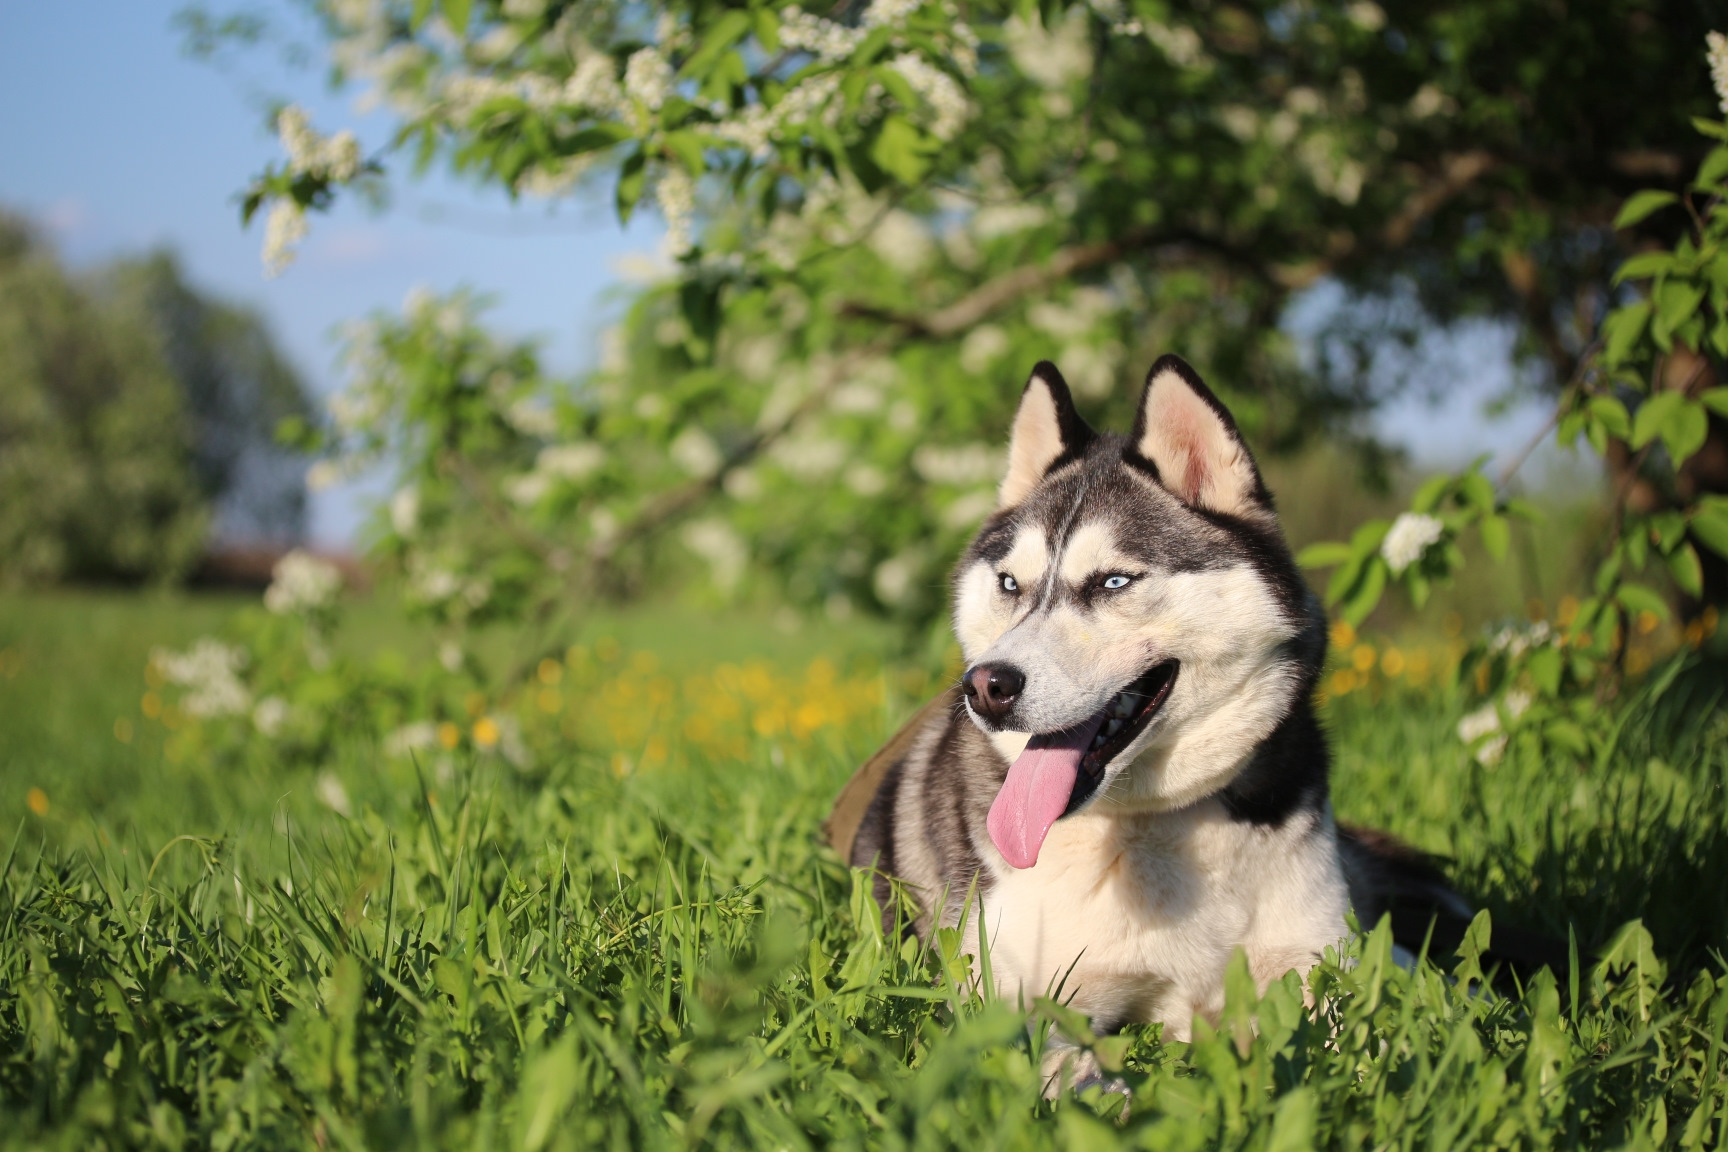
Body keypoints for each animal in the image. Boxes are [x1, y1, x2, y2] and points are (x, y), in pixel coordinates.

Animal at [822, 355, 1486, 1077]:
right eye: (1009, 585)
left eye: (1113, 582)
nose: (986, 687)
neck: (1154, 823)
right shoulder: (1009, 1000)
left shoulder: (1315, 957)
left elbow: (1380, 1034)